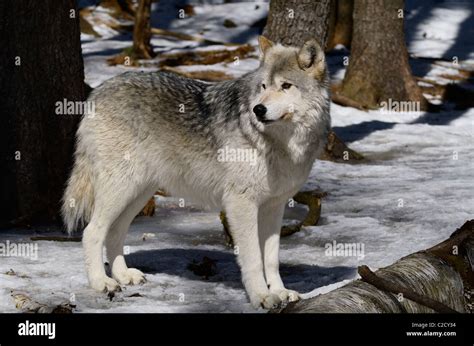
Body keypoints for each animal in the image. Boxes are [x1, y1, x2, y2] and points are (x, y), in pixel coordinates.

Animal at [62, 37, 330, 308]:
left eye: (286, 86)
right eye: (263, 86)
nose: (258, 109)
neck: (280, 143)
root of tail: (98, 91)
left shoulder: (274, 206)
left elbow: (272, 259)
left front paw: (281, 291)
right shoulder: (241, 204)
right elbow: (254, 258)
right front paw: (261, 296)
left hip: (137, 194)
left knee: (115, 231)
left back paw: (124, 275)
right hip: (120, 190)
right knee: (92, 232)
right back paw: (101, 282)